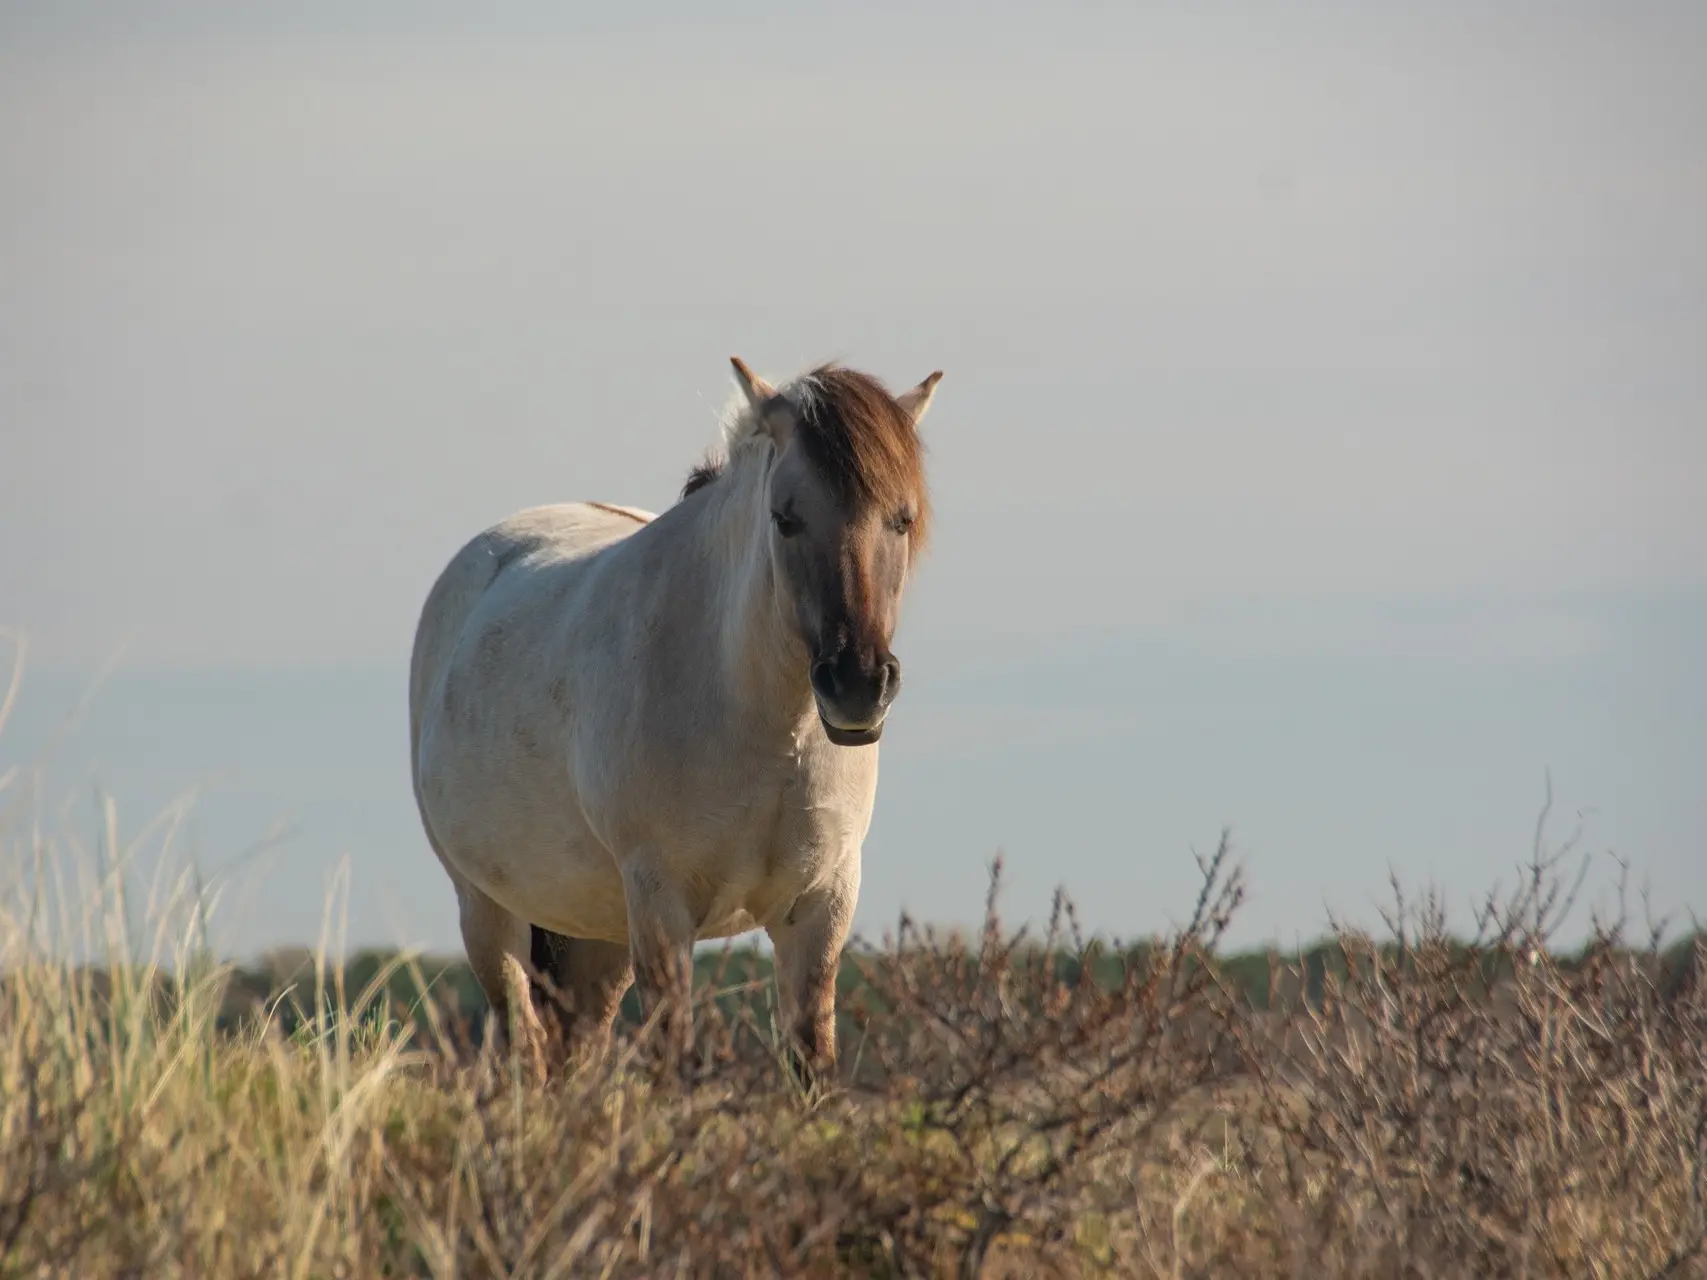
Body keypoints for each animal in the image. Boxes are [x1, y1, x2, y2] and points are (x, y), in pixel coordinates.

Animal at [413, 358, 949, 1085]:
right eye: (784, 518)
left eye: (901, 519)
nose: (858, 686)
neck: (764, 726)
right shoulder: (663, 910)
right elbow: (675, 1062)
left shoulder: (822, 910)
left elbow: (812, 1064)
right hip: (491, 914)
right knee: (524, 1046)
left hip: (598, 935)